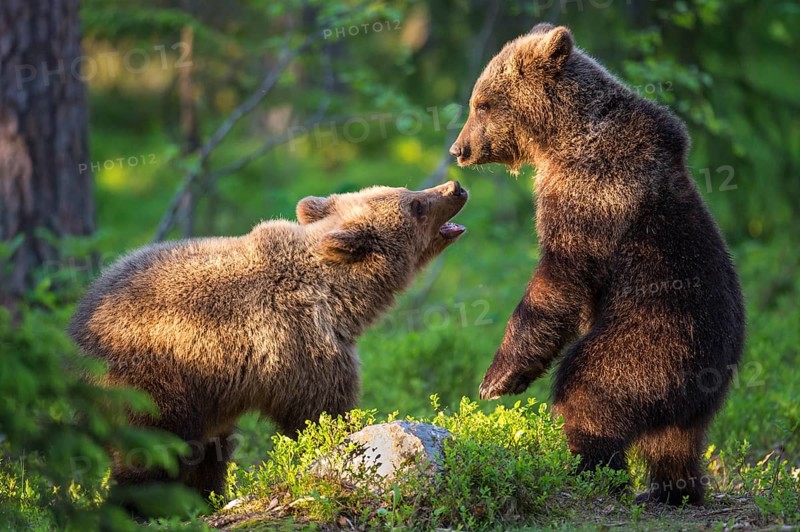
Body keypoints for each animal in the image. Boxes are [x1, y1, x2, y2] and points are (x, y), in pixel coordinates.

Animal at [69, 181, 468, 505]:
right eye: (415, 204)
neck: (339, 301)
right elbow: (321, 414)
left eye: (407, 189)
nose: (455, 187)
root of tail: (76, 331)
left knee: (206, 455)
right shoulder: (302, 345)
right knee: (150, 458)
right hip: (153, 385)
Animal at [449, 24, 744, 505]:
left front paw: (496, 379)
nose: (460, 149)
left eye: (482, 103)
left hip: (649, 342)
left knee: (589, 391)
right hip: (688, 396)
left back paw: (591, 471)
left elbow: (560, 277)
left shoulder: (591, 191)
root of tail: (710, 378)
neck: (562, 137)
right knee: (674, 442)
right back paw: (669, 490)